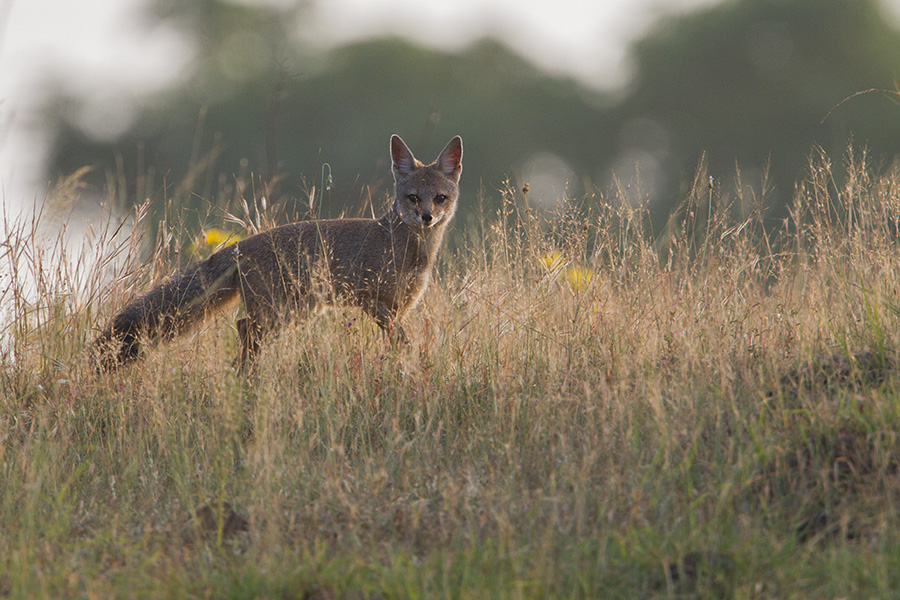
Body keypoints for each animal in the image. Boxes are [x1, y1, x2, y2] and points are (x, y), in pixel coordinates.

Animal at [96, 135, 464, 370]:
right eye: (413, 197)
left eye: (440, 198)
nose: (427, 217)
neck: (408, 248)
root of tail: (239, 246)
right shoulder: (372, 301)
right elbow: (401, 340)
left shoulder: (399, 307)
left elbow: (395, 342)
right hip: (279, 313)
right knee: (243, 327)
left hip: (297, 312)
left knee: (244, 330)